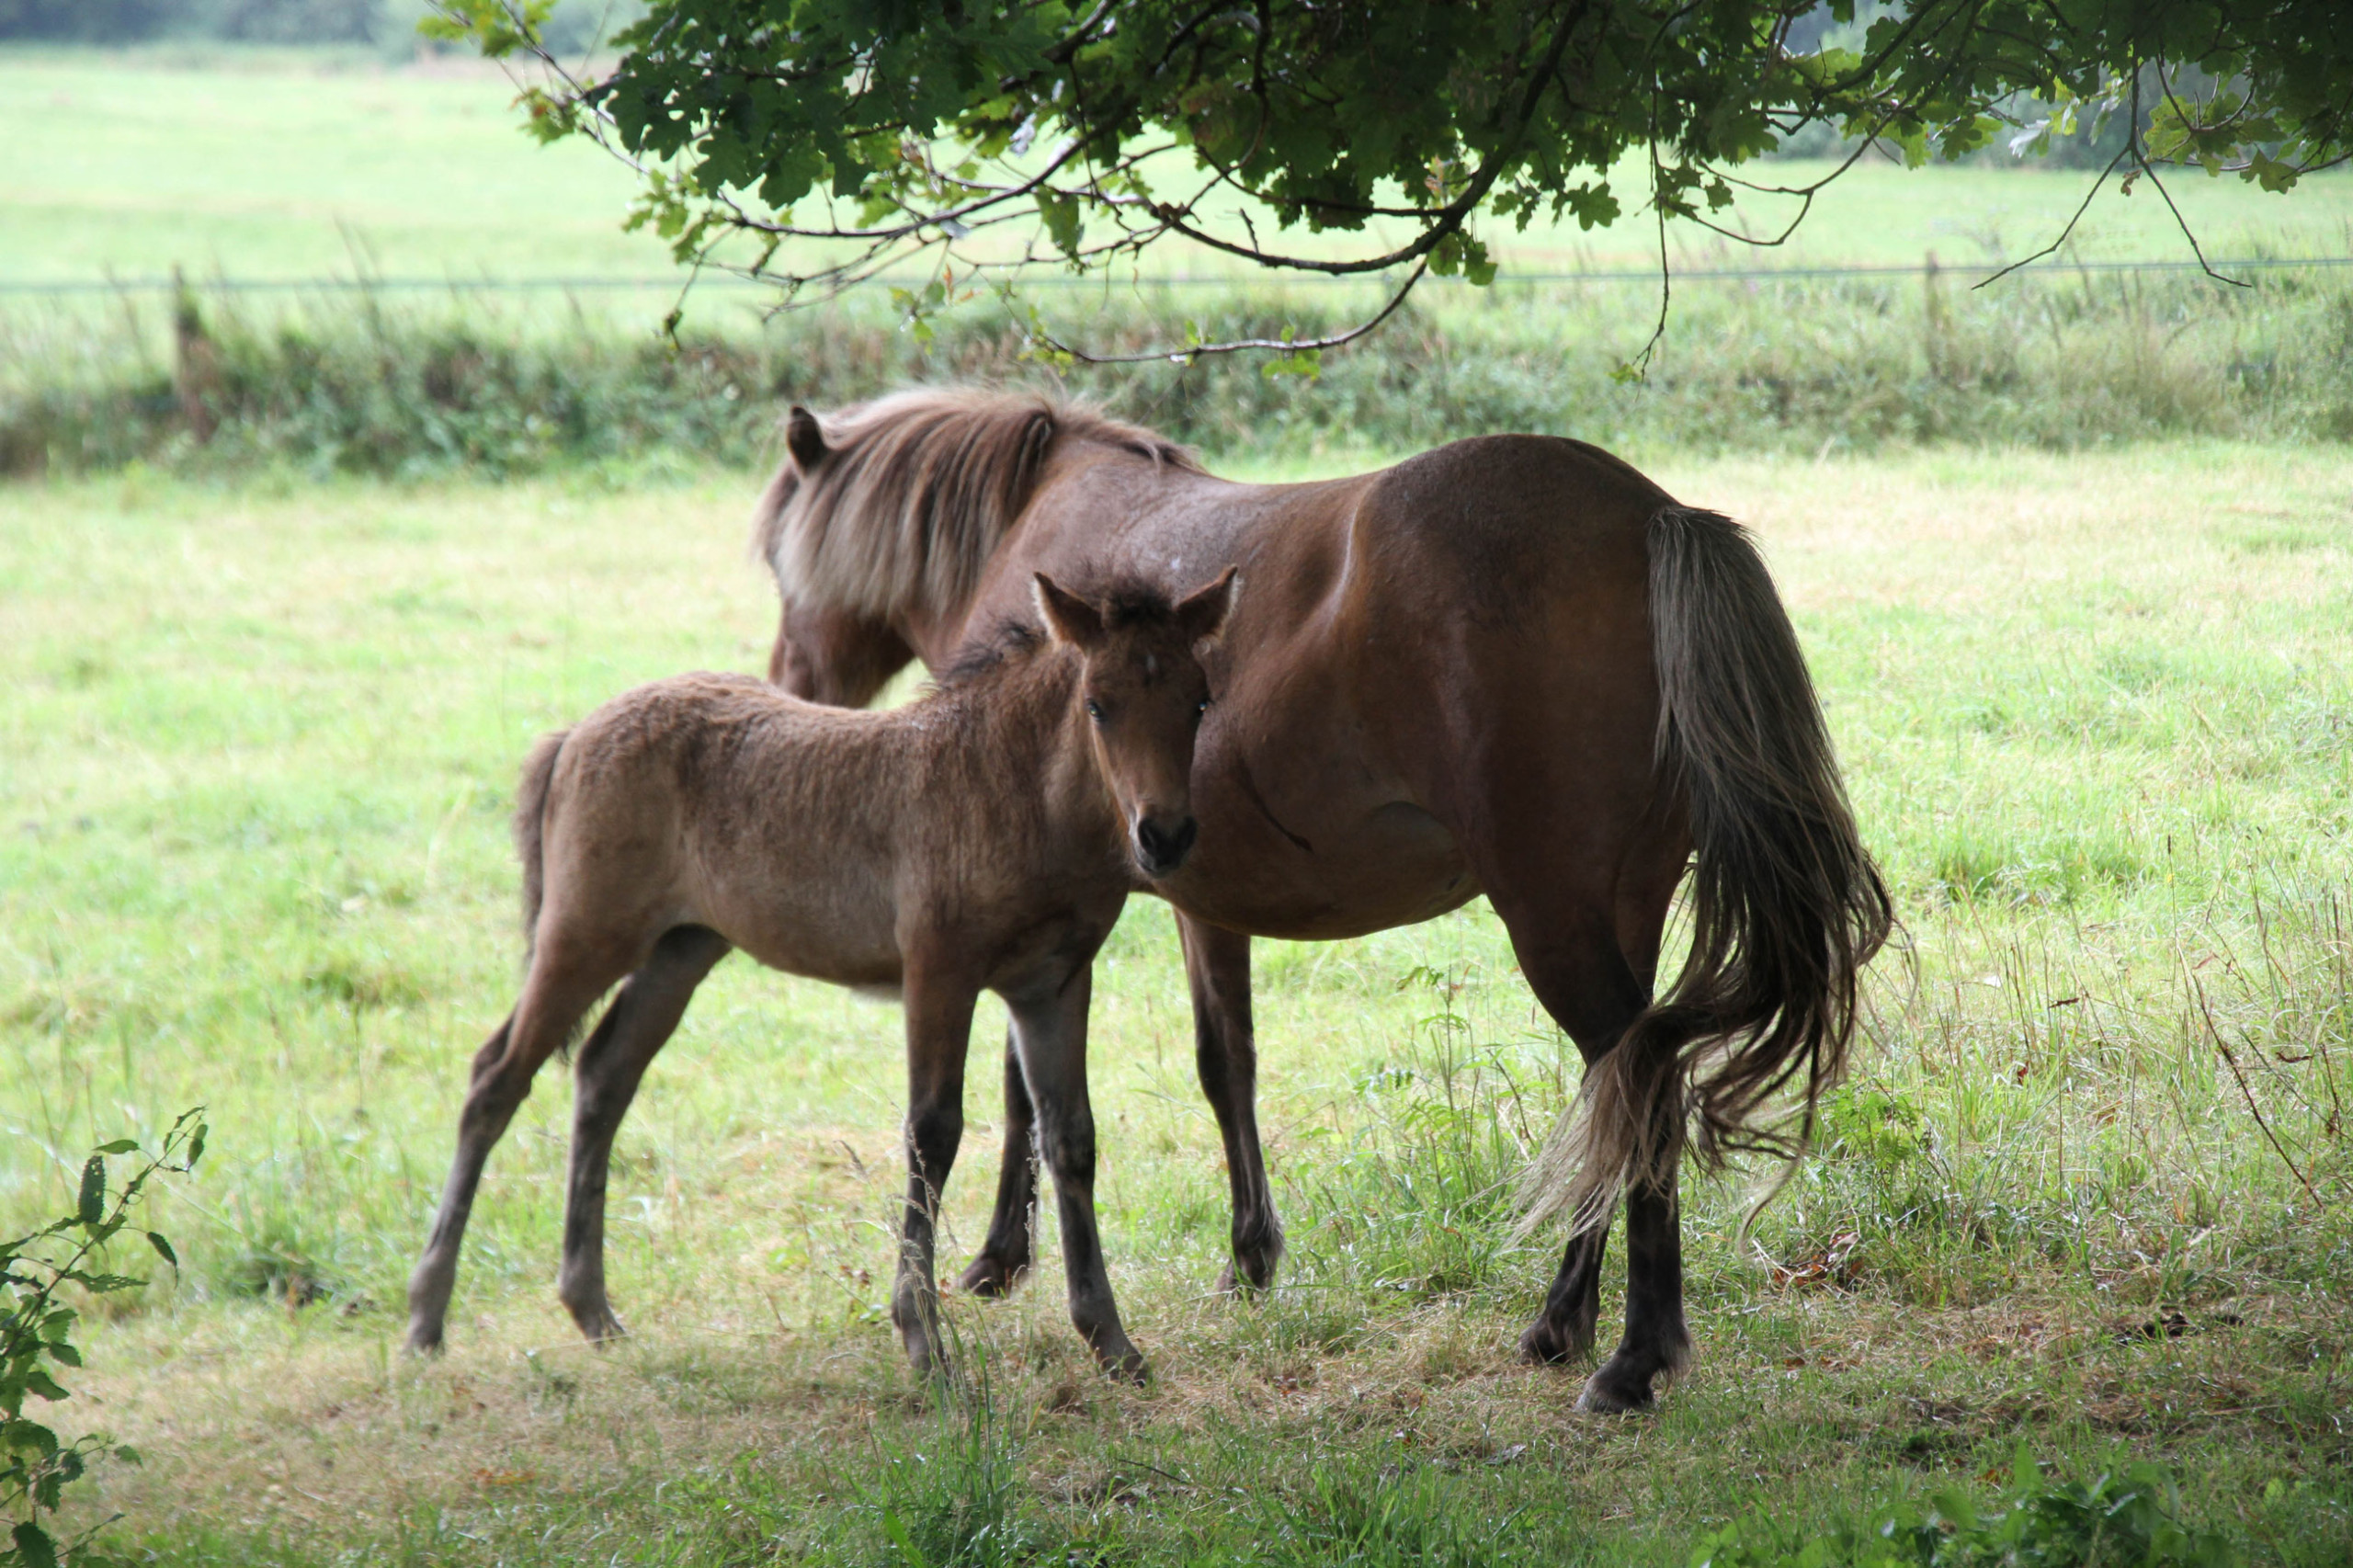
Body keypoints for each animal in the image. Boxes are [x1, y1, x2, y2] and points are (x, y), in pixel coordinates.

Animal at [404, 569, 1240, 1380]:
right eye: (1099, 705)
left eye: (1198, 699)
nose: (1164, 836)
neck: (1011, 788)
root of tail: (575, 734)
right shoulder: (938, 969)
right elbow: (932, 1132)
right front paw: (923, 1343)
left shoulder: (1053, 983)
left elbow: (1070, 1137)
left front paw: (1112, 1343)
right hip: (585, 933)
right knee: (496, 1079)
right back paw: (426, 1319)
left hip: (682, 949)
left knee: (605, 1072)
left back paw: (593, 1311)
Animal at [750, 389, 1891, 1412]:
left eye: (778, 560)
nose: (789, 683)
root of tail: (1648, 513)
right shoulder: (1190, 902)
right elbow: (1223, 1063)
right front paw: (1249, 1254)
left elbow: (1029, 1085)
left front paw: (1000, 1257)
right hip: (1620, 905)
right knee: (1614, 1089)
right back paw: (1560, 1319)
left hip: (1552, 914)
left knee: (1636, 1083)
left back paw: (1631, 1358)